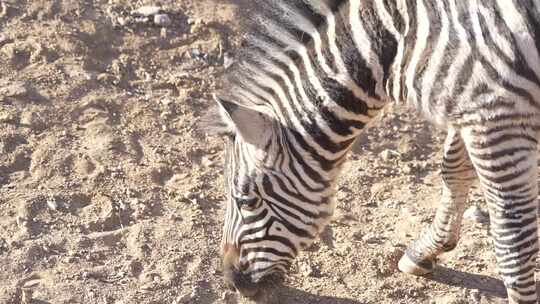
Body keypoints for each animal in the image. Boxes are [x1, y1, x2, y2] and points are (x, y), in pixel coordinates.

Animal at [201, 1, 540, 302]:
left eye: (245, 200)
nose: (231, 280)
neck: (394, 41)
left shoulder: (496, 118)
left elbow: (512, 239)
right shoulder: (467, 106)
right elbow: (453, 169)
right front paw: (427, 250)